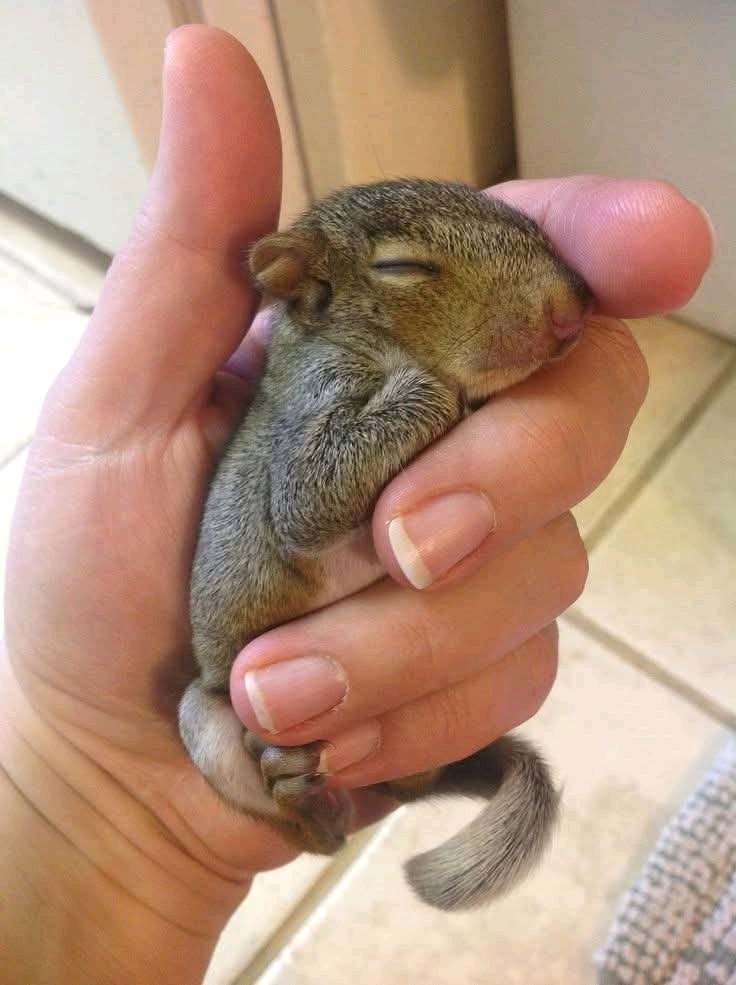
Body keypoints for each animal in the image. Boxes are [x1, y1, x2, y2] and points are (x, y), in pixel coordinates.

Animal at [179, 178, 591, 911]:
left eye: (531, 225)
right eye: (402, 267)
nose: (573, 309)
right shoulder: (310, 416)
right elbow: (310, 496)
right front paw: (442, 390)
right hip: (208, 721)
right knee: (311, 832)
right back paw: (308, 804)